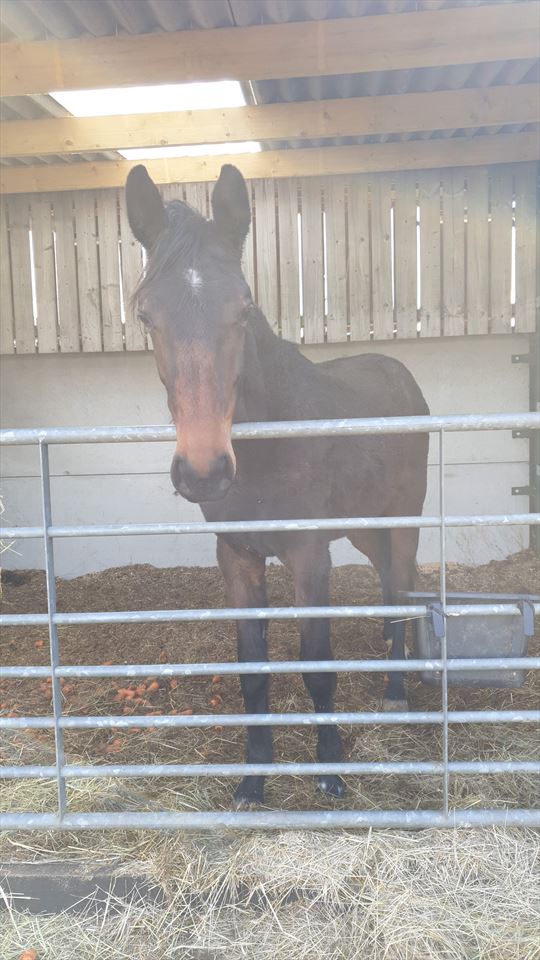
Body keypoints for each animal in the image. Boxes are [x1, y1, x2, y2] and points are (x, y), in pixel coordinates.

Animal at [125, 163, 430, 807]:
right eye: (146, 316)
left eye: (243, 309)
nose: (205, 471)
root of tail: (399, 373)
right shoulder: (238, 556)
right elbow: (252, 670)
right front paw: (254, 777)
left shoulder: (309, 556)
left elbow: (317, 663)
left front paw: (331, 769)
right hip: (364, 528)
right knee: (397, 585)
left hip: (403, 519)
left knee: (398, 588)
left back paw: (396, 689)